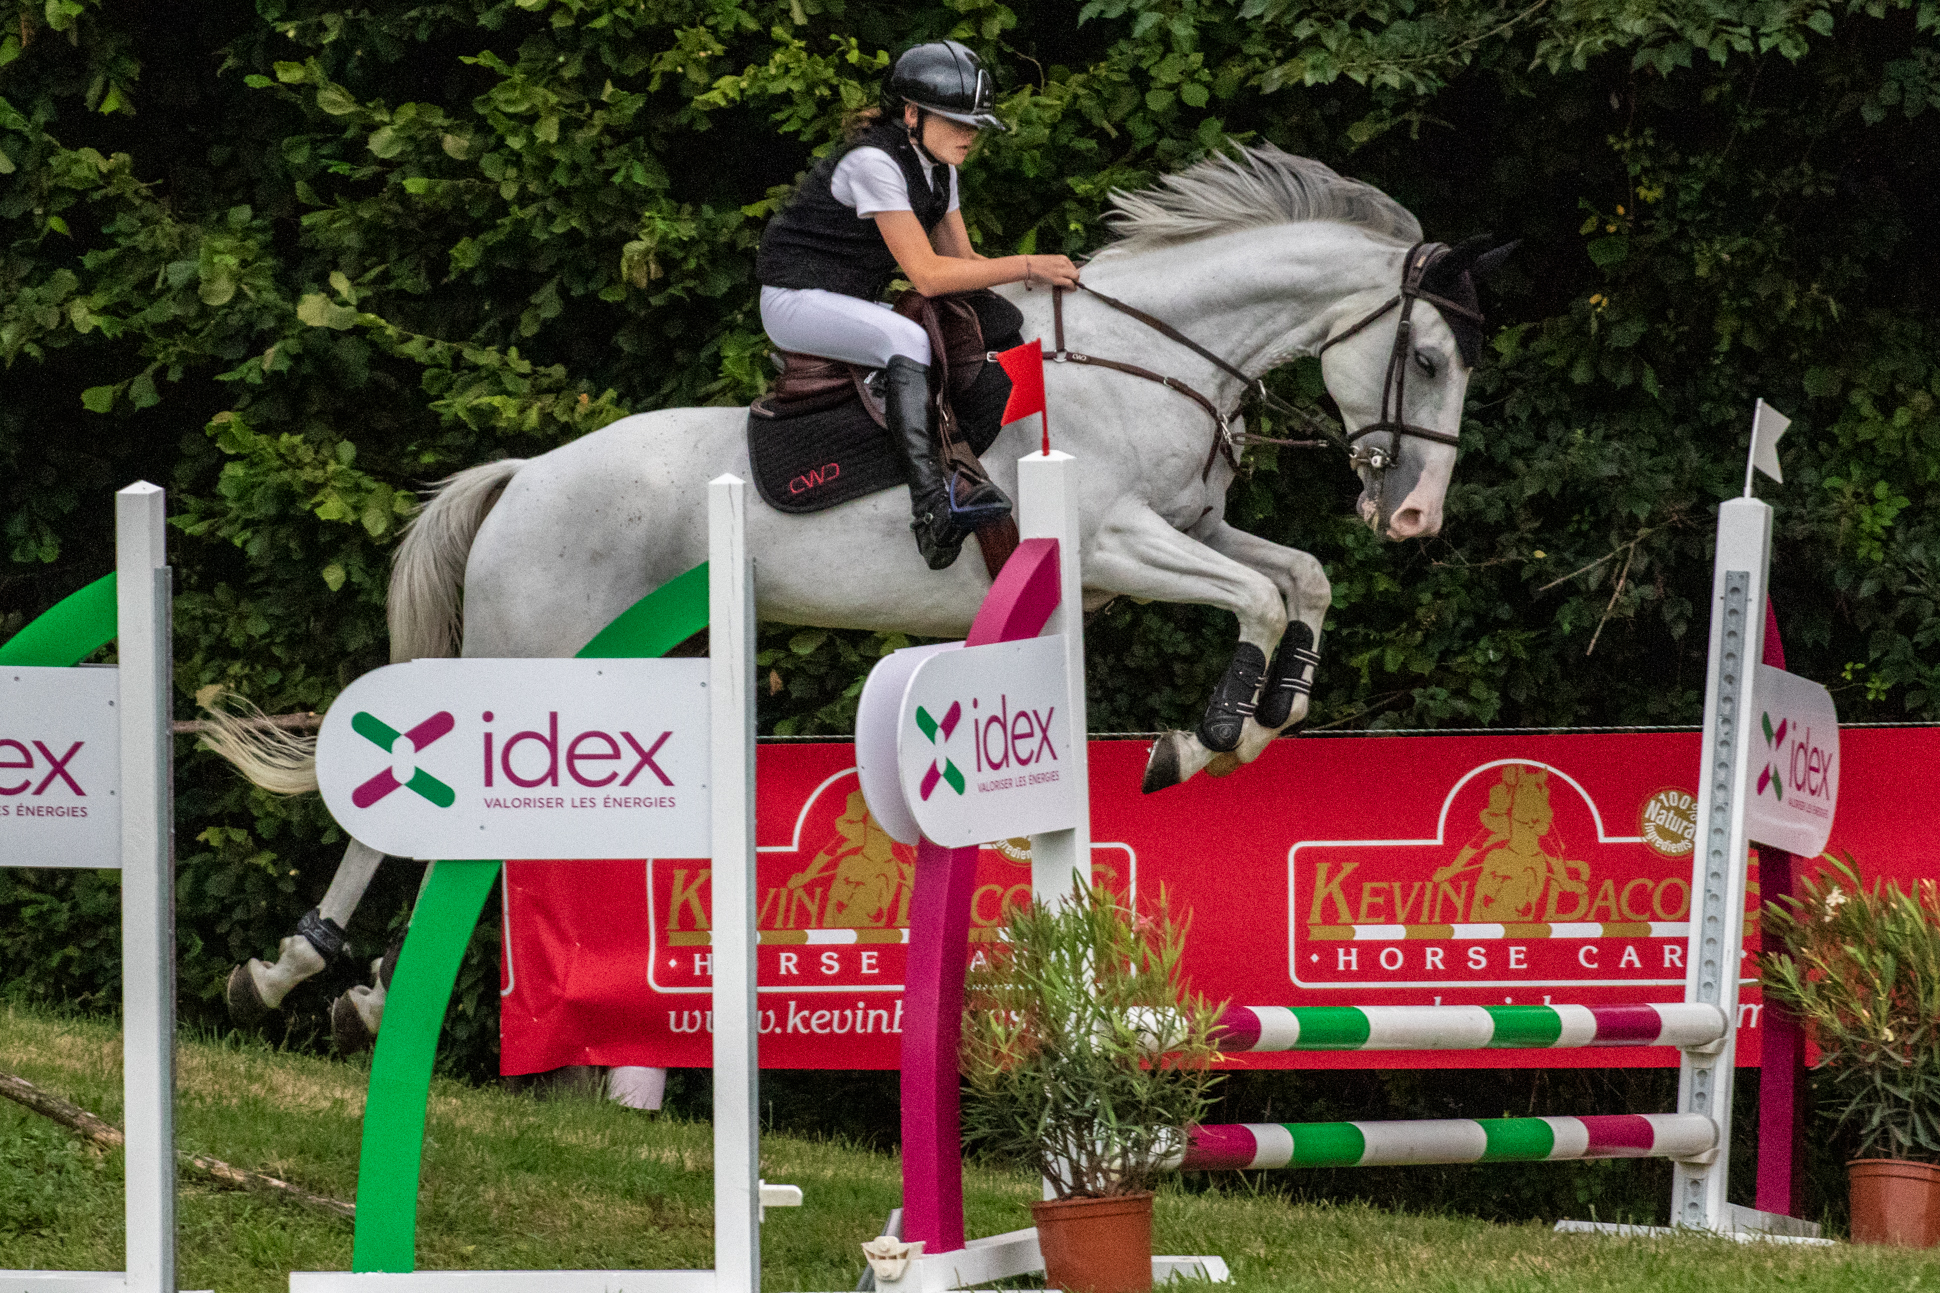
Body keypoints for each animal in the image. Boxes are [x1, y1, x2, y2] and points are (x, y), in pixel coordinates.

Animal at [209, 145, 1512, 1046]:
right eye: (1427, 360)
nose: (1413, 519)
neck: (1157, 358)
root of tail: (525, 476)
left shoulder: (1184, 527)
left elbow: (1298, 578)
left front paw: (1254, 721)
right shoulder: (1110, 545)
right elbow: (1251, 596)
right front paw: (1201, 741)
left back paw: (361, 990)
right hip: (531, 652)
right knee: (420, 807)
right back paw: (298, 973)